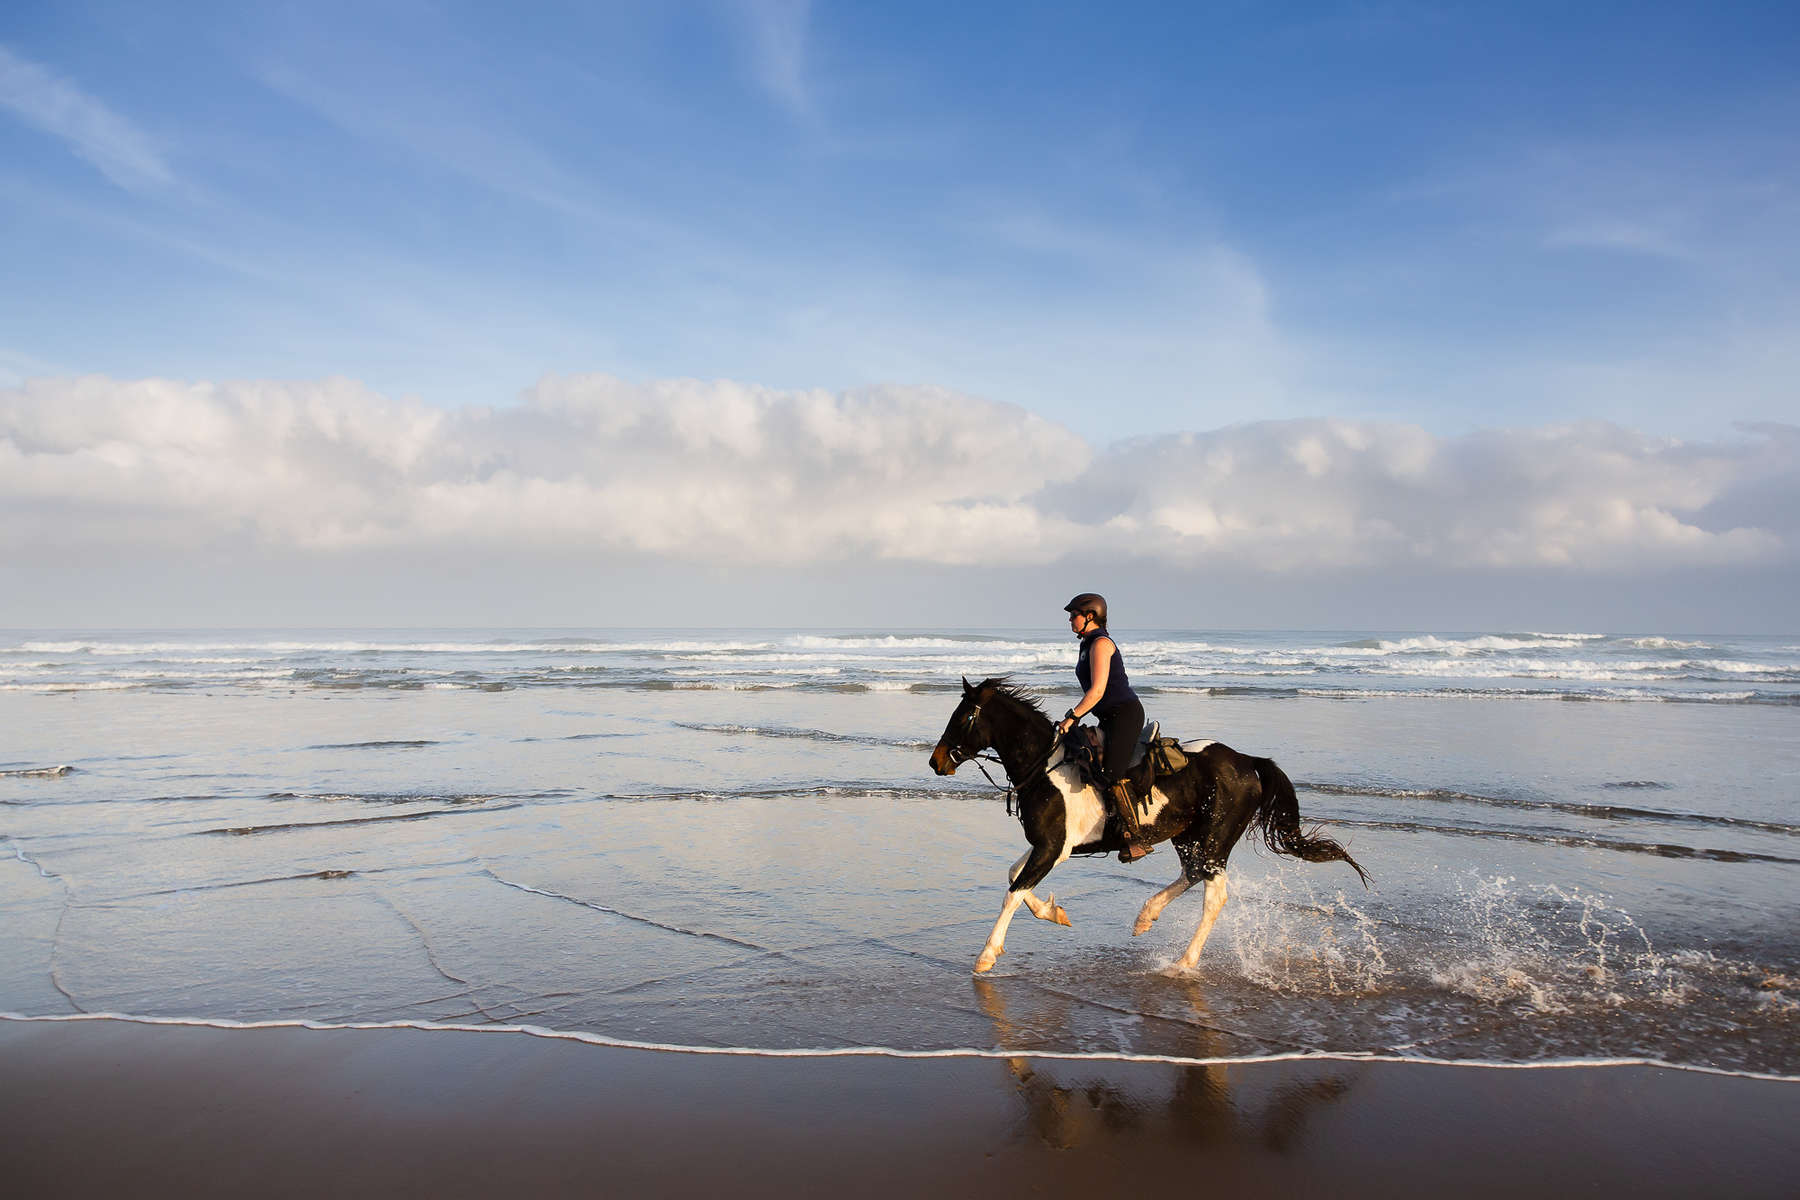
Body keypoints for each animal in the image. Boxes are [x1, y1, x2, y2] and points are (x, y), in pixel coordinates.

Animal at [928, 676, 1360, 978]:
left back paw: (1184, 962)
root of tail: (1248, 761)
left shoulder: (1053, 847)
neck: (1045, 767)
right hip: (1189, 836)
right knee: (1192, 874)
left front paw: (987, 955)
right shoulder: (1048, 845)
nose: (936, 761)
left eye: (963, 717)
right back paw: (1145, 917)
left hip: (1215, 839)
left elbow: (1014, 892)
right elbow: (1014, 875)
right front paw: (1055, 913)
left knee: (1213, 895)